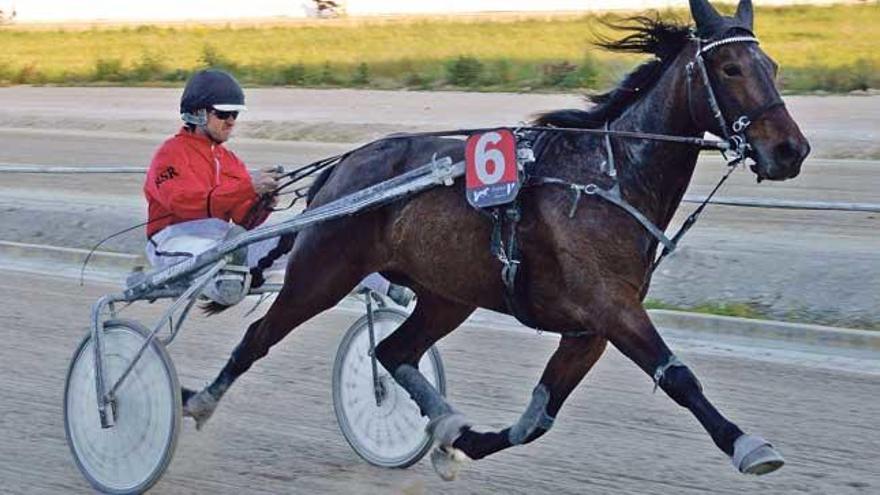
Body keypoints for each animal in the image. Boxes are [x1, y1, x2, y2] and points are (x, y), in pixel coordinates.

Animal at [182, 0, 808, 480]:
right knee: (261, 336)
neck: (606, 176)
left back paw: (445, 422)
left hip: (446, 294)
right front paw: (749, 445)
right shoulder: (610, 305)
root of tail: (344, 166)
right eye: (728, 67)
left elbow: (538, 418)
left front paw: (464, 443)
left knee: (393, 351)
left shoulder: (589, 329)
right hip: (323, 272)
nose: (790, 150)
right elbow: (677, 375)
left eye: (773, 64)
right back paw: (197, 401)